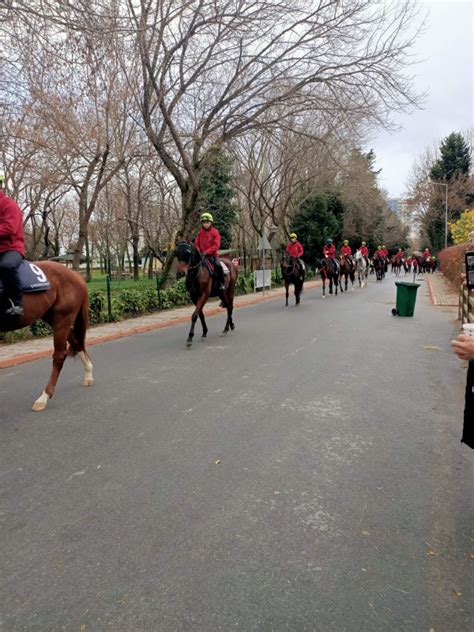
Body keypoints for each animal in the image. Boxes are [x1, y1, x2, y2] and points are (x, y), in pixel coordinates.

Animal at [0, 260, 93, 412]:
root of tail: (75, 274)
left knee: (59, 355)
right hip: (55, 318)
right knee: (77, 343)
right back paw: (88, 375)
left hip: (62, 319)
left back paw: (44, 397)